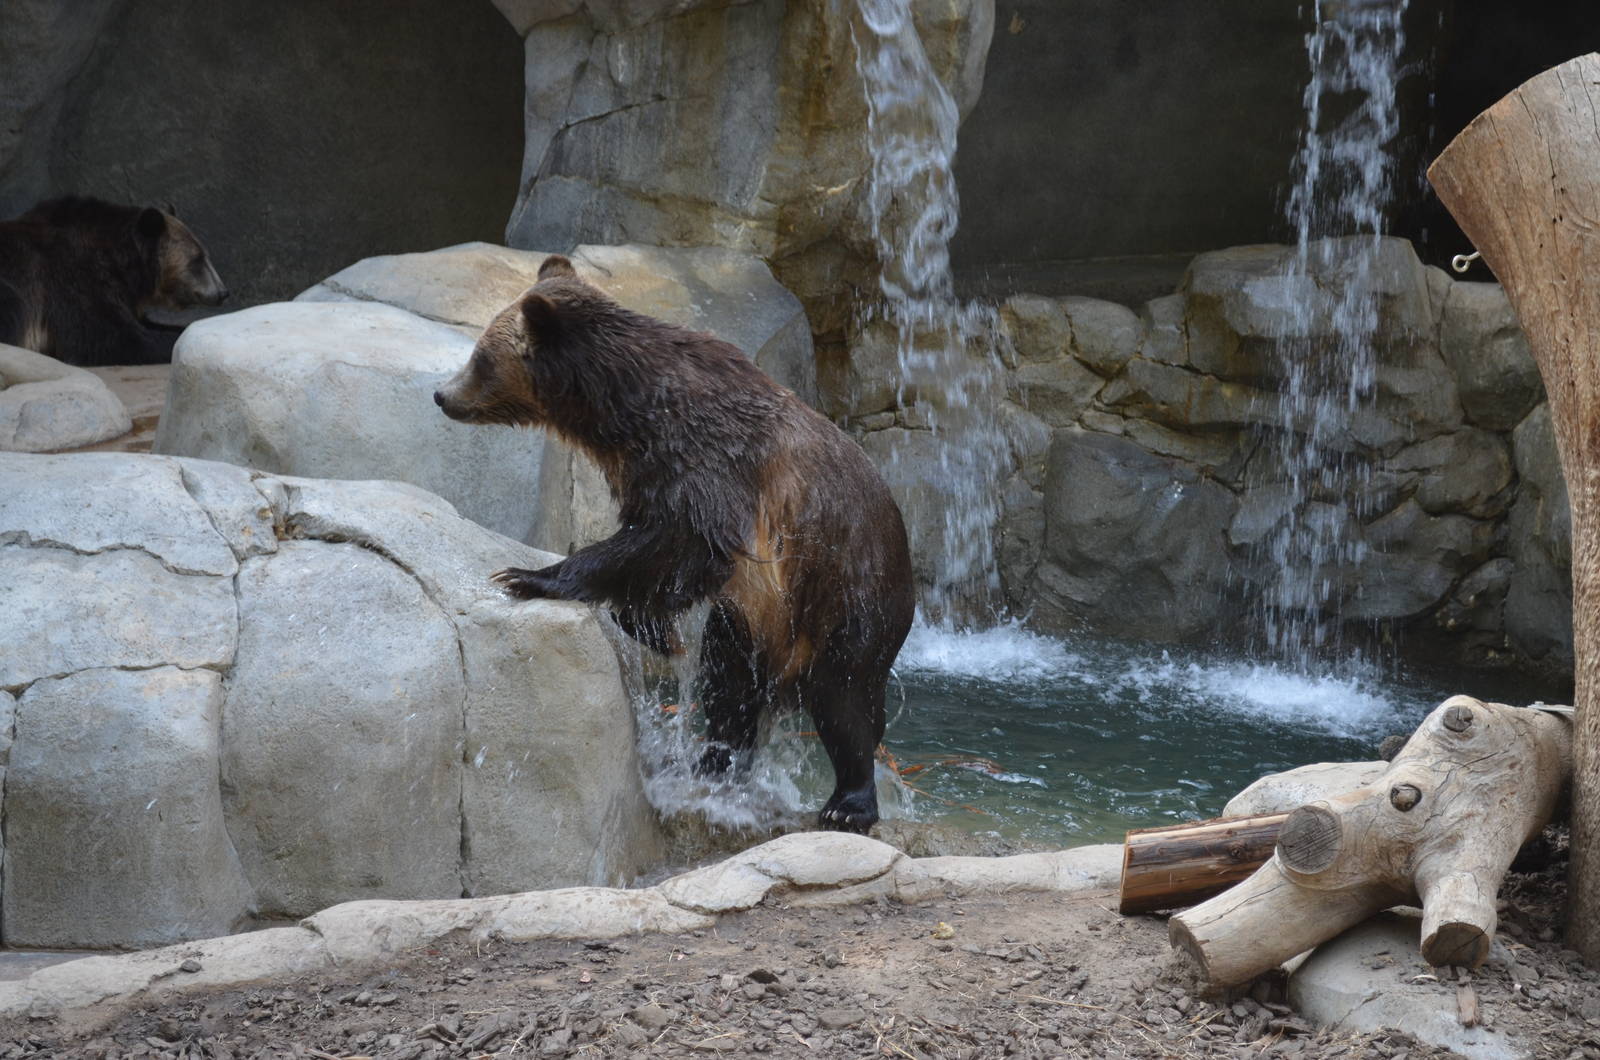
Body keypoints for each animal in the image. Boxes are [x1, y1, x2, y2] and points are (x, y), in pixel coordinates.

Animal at [434, 255, 916, 833]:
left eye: (481, 355)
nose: (442, 394)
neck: (625, 413)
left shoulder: (709, 461)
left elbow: (683, 541)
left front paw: (529, 576)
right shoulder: (647, 472)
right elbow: (663, 559)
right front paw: (653, 630)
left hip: (843, 593)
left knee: (845, 698)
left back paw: (847, 802)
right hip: (755, 622)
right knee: (730, 688)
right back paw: (713, 765)